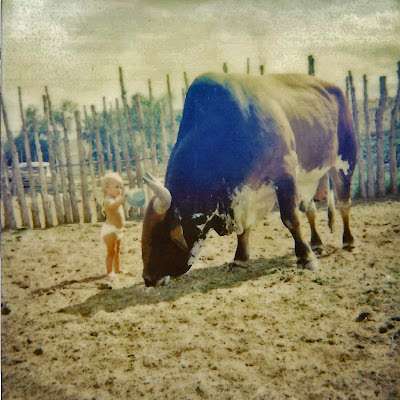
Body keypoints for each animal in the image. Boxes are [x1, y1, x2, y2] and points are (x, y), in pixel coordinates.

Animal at [141, 73, 357, 287]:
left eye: (159, 236)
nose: (148, 278)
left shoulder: (285, 173)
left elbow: (290, 218)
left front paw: (305, 257)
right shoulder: (243, 196)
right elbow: (244, 229)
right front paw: (240, 259)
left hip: (344, 161)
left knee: (344, 203)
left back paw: (348, 241)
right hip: (307, 178)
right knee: (310, 210)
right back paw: (317, 244)